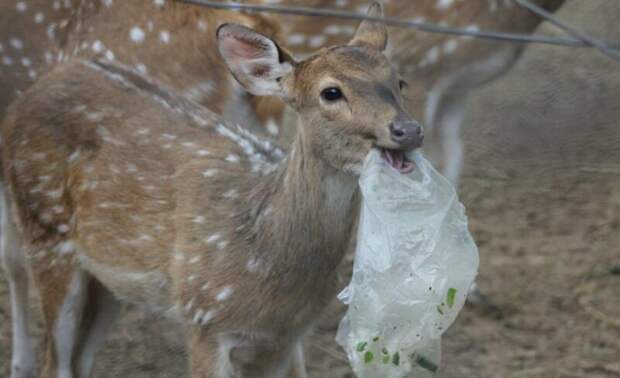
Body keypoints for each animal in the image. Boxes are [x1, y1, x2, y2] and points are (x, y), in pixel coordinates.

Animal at [0, 3, 422, 378]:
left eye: (399, 82)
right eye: (331, 92)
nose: (408, 130)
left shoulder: (282, 338)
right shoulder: (203, 316)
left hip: (106, 277)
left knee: (78, 360)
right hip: (46, 232)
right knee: (52, 357)